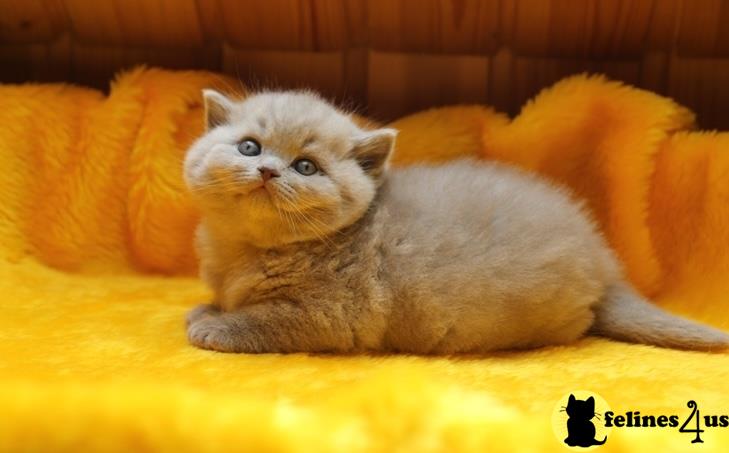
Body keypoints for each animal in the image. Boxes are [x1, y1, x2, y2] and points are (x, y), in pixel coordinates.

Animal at [182, 89, 728, 354]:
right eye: (249, 147)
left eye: (306, 167)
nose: (268, 171)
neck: (247, 249)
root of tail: (602, 258)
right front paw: (207, 308)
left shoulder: (330, 314)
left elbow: (266, 319)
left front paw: (216, 326)